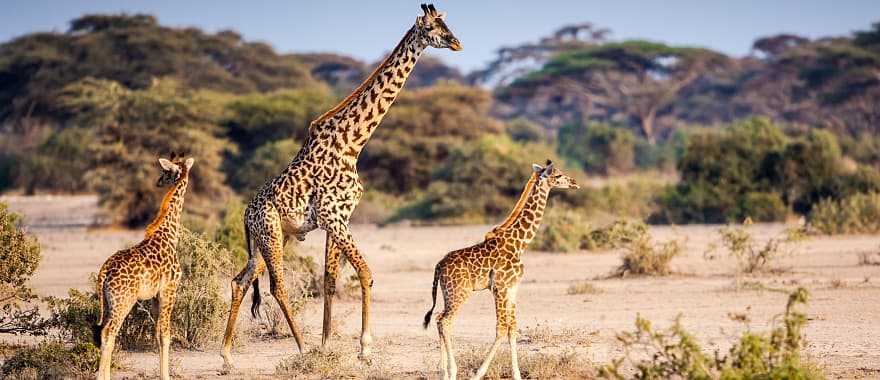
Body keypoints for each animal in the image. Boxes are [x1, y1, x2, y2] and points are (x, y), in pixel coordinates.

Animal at [94, 154, 194, 380]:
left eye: (165, 172)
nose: (158, 181)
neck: (170, 234)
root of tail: (104, 272)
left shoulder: (155, 296)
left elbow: (158, 334)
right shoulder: (169, 289)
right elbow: (166, 334)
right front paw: (166, 376)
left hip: (108, 302)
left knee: (104, 333)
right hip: (123, 301)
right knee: (108, 332)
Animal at [222, 2, 460, 366]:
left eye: (447, 24)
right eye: (433, 28)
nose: (457, 43)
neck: (353, 144)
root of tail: (245, 214)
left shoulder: (339, 218)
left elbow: (330, 280)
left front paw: (327, 344)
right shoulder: (333, 217)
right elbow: (365, 273)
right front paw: (363, 348)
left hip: (273, 238)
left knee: (240, 281)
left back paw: (227, 356)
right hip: (271, 233)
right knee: (277, 286)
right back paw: (301, 348)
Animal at [422, 161, 580, 380]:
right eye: (558, 175)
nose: (574, 183)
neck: (520, 243)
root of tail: (438, 266)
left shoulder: (512, 288)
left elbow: (513, 328)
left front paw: (517, 375)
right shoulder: (499, 287)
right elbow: (501, 328)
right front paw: (478, 374)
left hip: (448, 293)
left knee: (439, 319)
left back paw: (444, 373)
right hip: (460, 292)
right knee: (445, 321)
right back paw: (451, 371)